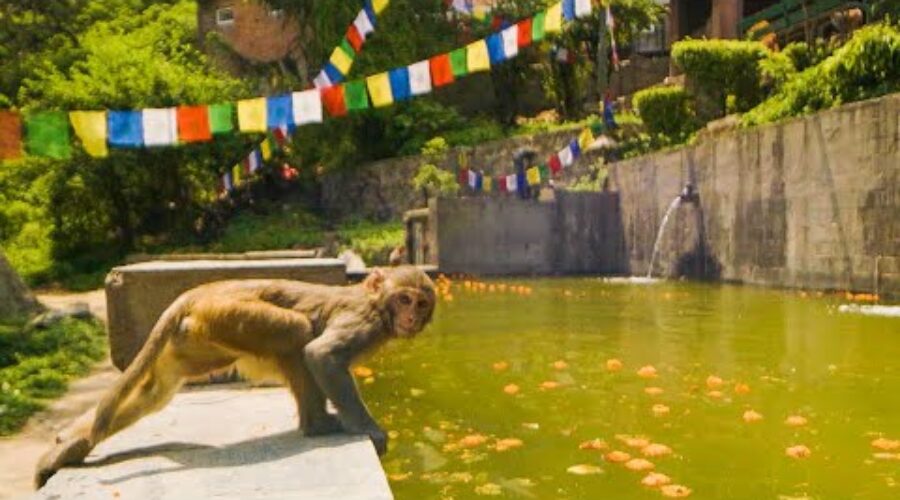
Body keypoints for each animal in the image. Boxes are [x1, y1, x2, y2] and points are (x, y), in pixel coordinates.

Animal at [37, 266, 438, 488]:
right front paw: (369, 429)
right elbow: (321, 354)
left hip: (200, 333)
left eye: (421, 304)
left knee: (156, 390)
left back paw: (70, 446)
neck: (375, 304)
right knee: (298, 333)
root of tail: (200, 291)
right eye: (404, 299)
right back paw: (318, 426)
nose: (412, 317)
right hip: (230, 315)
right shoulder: (364, 322)